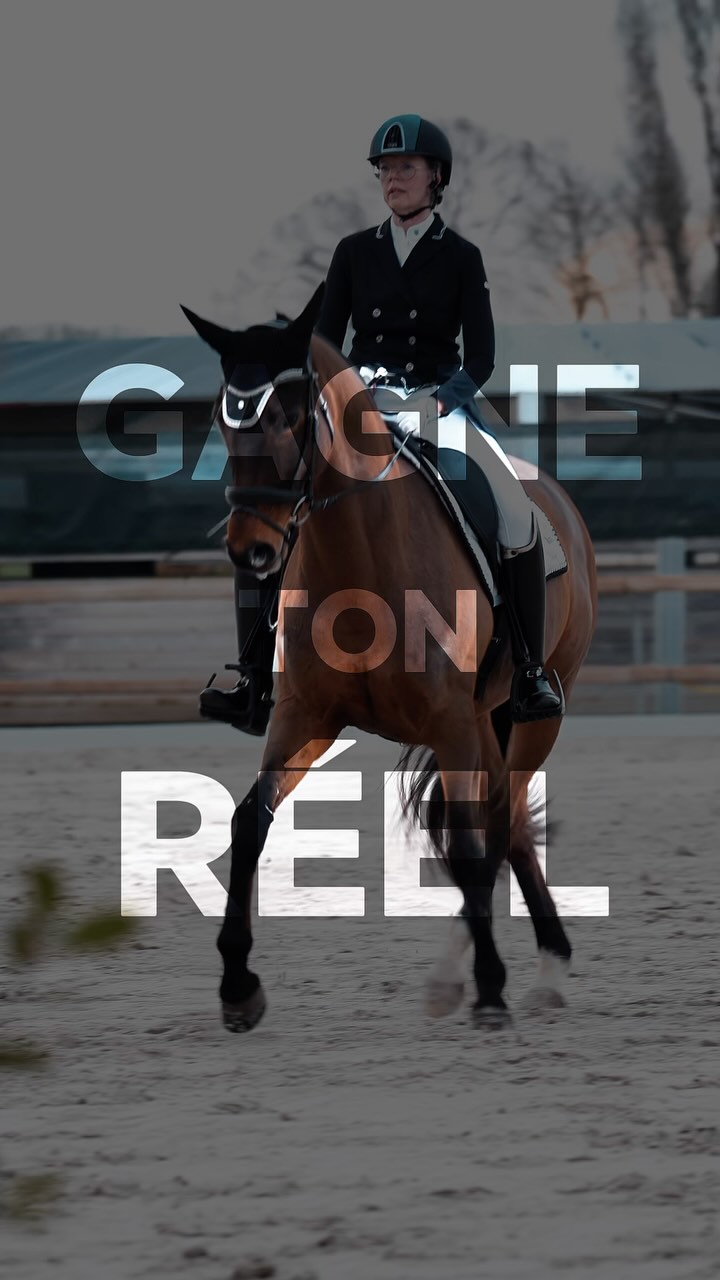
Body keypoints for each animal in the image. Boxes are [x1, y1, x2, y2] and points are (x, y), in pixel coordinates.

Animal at [182, 286, 598, 1032]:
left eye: (288, 416)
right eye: (224, 422)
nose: (252, 551)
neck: (361, 556)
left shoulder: (452, 724)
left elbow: (471, 847)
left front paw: (490, 988)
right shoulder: (305, 717)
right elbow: (248, 823)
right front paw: (237, 984)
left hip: (537, 713)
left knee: (500, 823)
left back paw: (512, 972)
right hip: (485, 722)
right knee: (506, 824)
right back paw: (512, 969)